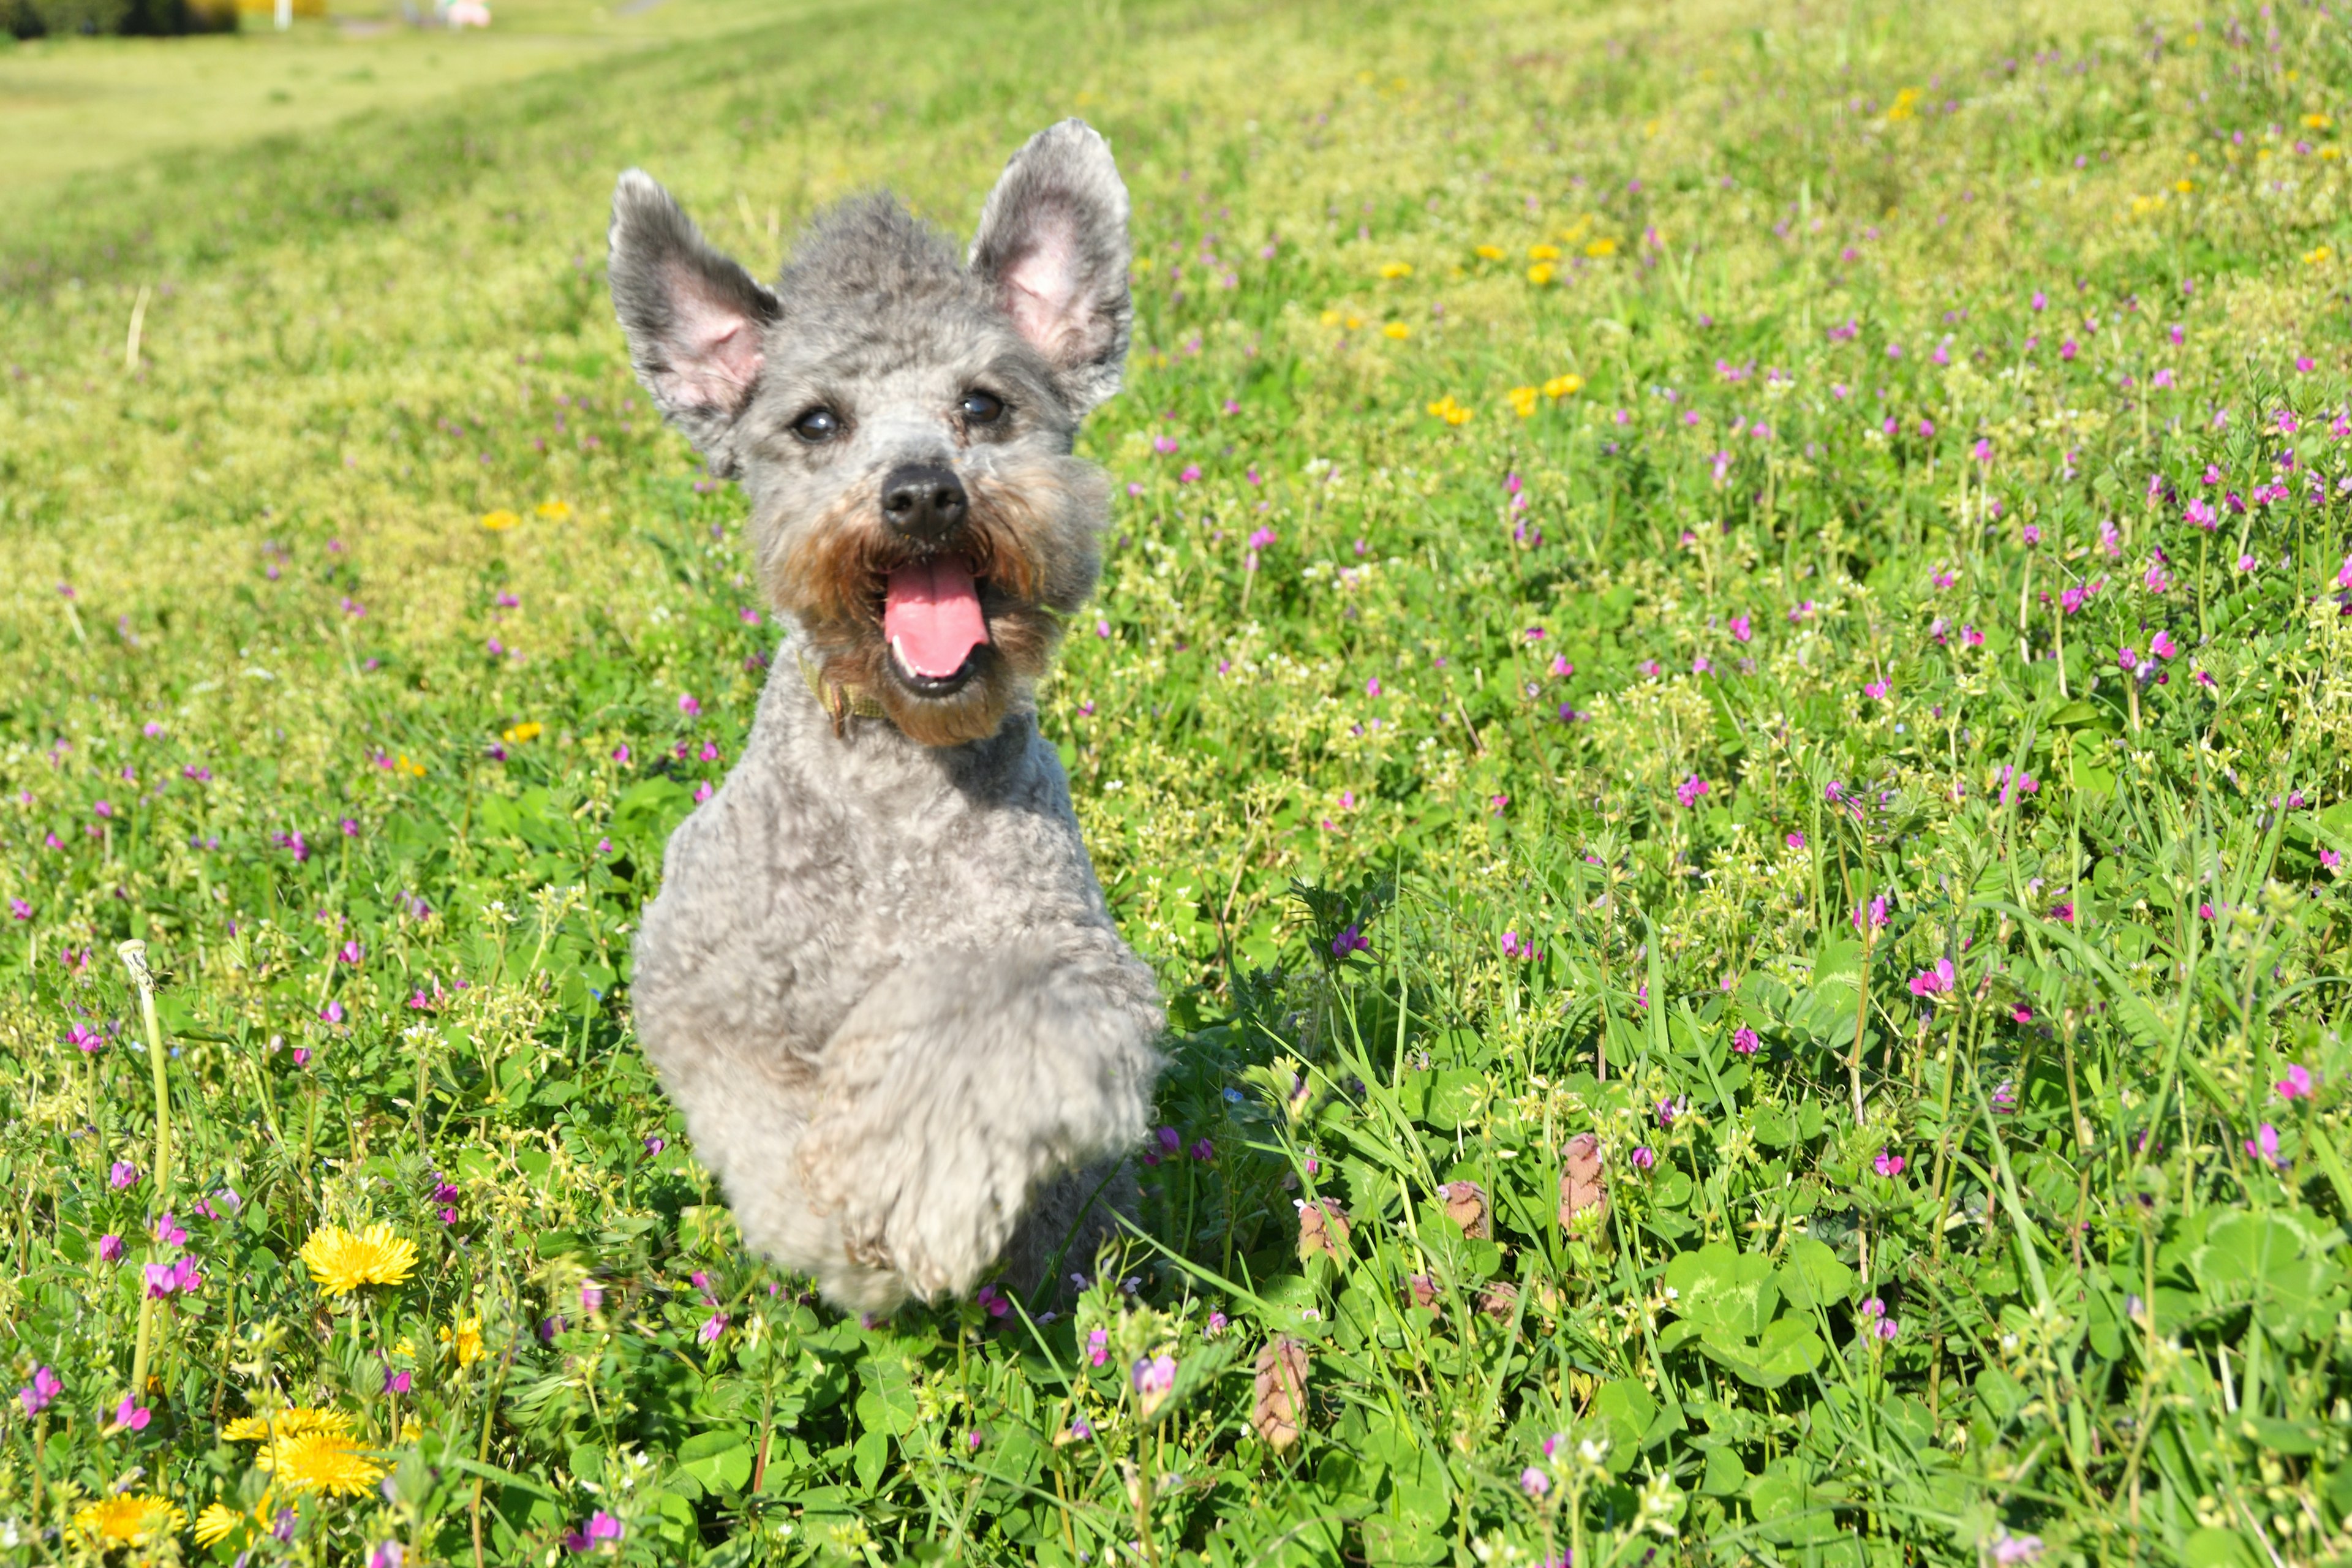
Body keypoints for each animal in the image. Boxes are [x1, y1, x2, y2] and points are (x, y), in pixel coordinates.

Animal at [602, 123, 1161, 1316]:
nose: (921, 492)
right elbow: (762, 1123)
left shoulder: (1069, 965)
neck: (902, 784)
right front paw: (832, 1225)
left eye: (984, 405)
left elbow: (984, 1030)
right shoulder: (698, 978)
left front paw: (921, 1188)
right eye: (817, 422)